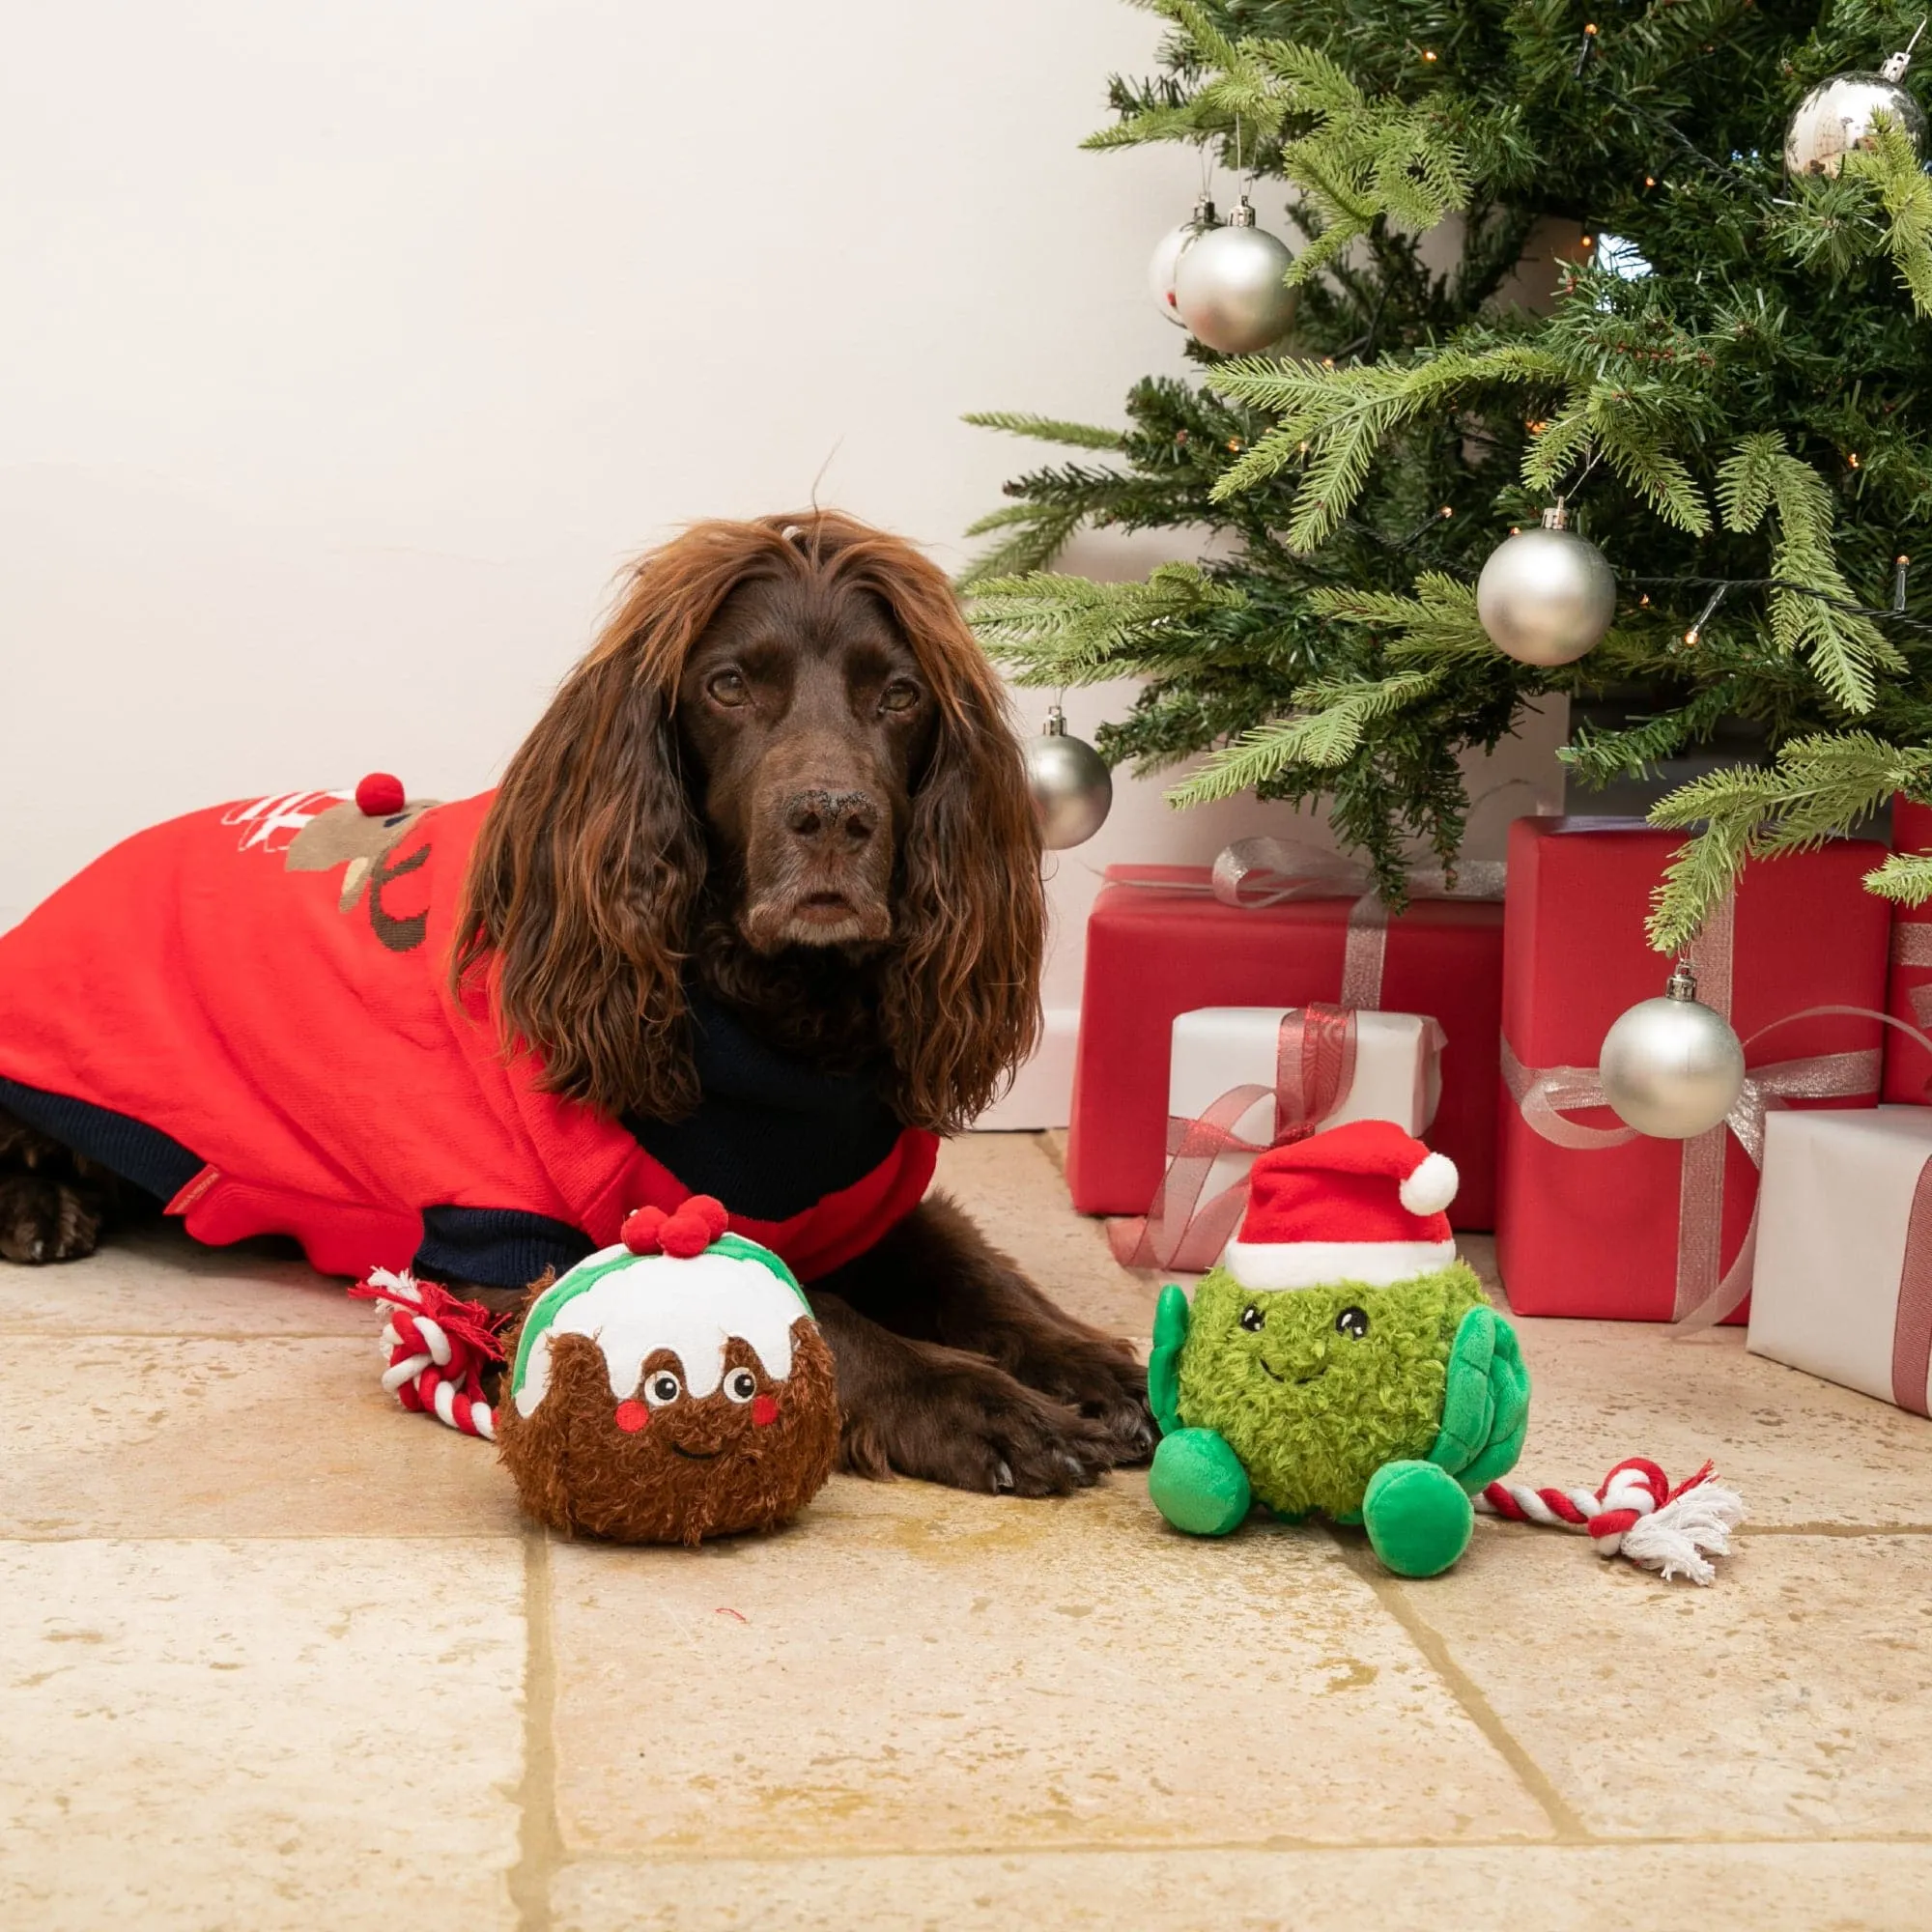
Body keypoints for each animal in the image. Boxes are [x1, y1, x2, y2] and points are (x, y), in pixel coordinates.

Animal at [0, 510, 1144, 1492]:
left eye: (898, 696)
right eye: (728, 685)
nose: (833, 816)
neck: (770, 1018)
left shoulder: (865, 1203)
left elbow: (978, 1278)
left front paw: (1097, 1367)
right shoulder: (524, 1243)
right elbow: (815, 1316)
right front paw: (987, 1408)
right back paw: (41, 1205)